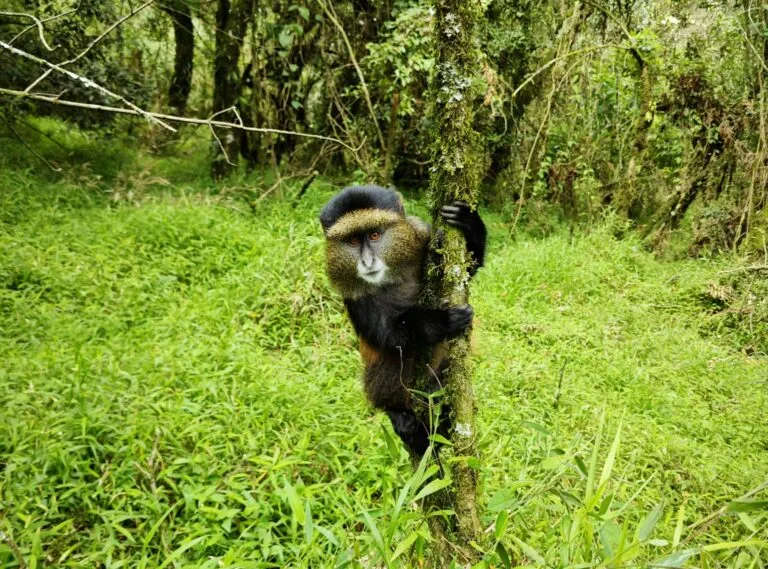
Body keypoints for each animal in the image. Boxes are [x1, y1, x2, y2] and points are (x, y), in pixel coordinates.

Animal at [319, 185, 486, 456]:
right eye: (353, 241)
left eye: (375, 235)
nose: (367, 262)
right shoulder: (353, 297)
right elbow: (389, 336)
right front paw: (442, 321)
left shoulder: (424, 237)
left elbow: (469, 269)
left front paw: (468, 221)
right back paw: (400, 416)